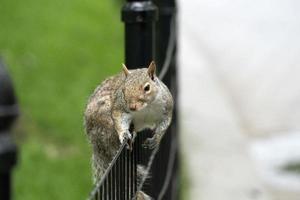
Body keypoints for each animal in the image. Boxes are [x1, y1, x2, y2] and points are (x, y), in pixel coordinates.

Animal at [84, 61, 173, 198]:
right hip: (104, 118)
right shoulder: (119, 109)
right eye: (123, 90)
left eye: (147, 88)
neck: (146, 108)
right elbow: (119, 120)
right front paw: (124, 134)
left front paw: (156, 139)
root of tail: (96, 144)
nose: (132, 106)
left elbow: (164, 125)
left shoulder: (167, 108)